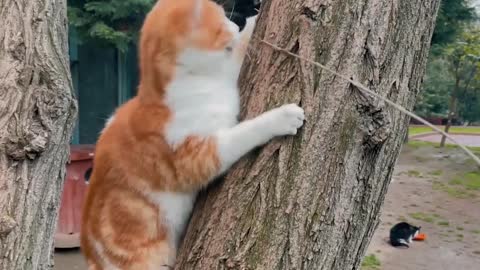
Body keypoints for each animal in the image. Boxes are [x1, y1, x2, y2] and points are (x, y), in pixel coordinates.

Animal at [79, 1, 304, 268]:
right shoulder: (196, 156)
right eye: (221, 26)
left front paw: (253, 20)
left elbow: (238, 52)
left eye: (225, 16)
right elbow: (241, 134)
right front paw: (282, 117)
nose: (235, 24)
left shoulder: (225, 73)